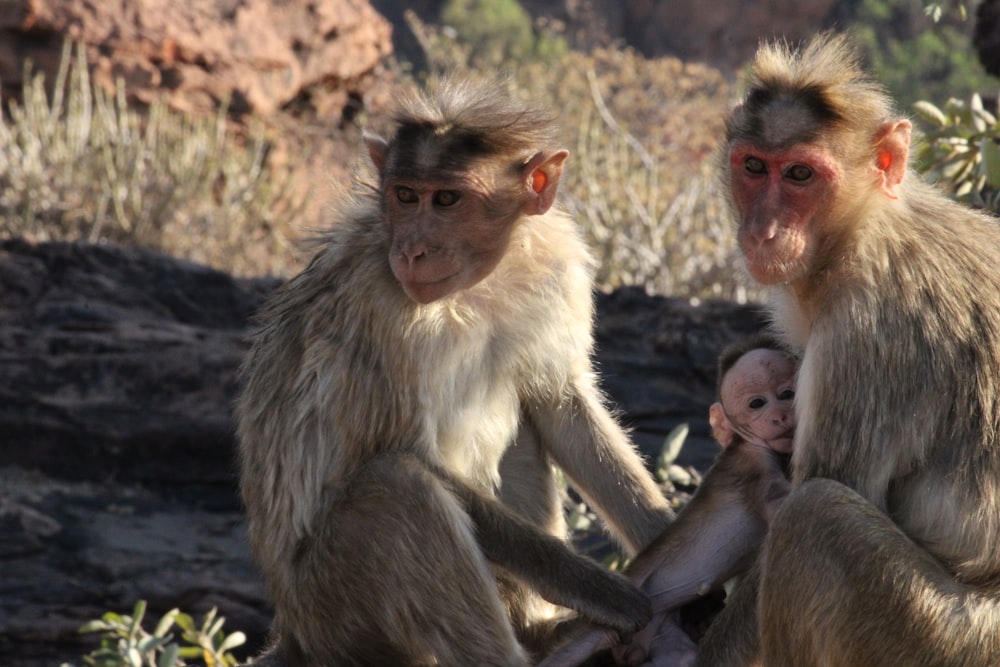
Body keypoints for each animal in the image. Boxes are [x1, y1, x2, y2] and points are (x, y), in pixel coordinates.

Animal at [233, 78, 672, 667]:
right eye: (404, 195)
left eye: (446, 199)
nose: (413, 251)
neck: (478, 285)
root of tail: (295, 631)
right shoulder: (380, 307)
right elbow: (412, 456)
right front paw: (597, 587)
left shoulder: (558, 269)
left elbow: (560, 406)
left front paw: (671, 533)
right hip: (332, 611)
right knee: (397, 492)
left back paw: (533, 627)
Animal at [540, 334, 796, 667]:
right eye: (757, 403)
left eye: (786, 394)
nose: (780, 415)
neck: (748, 441)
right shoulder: (753, 465)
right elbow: (782, 502)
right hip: (609, 619)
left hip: (662, 635)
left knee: (681, 656)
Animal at [700, 32, 1000, 667]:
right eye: (754, 167)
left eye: (800, 175)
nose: (762, 231)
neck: (858, 231)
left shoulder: (865, 333)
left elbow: (823, 494)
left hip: (937, 639)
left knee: (815, 516)